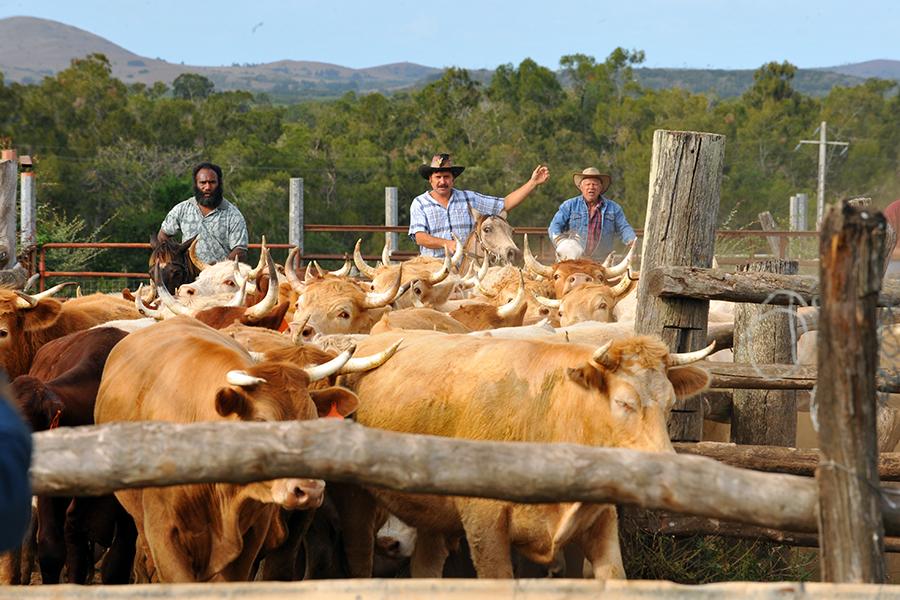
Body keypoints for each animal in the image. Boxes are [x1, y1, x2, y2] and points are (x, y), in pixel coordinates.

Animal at [337, 331, 713, 579]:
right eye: (624, 403)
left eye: (670, 404)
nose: (666, 467)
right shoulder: (485, 528)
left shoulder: (599, 520)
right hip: (357, 500)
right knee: (359, 556)